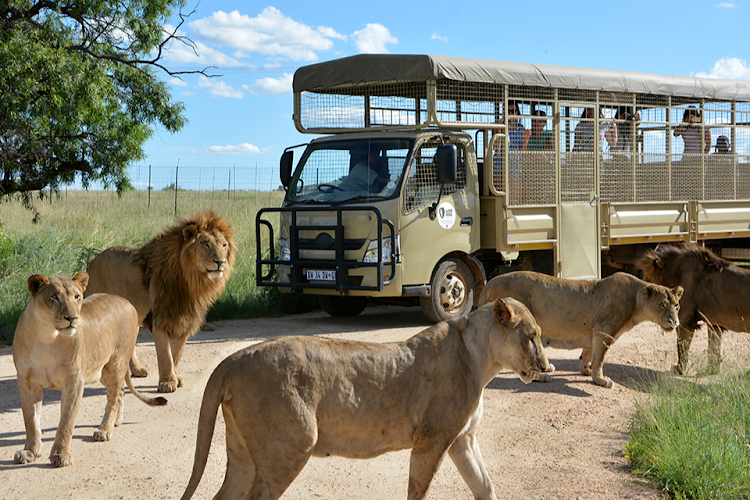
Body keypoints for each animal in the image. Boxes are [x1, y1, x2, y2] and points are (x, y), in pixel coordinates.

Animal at [12, 272, 167, 466]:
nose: (72, 318)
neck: (47, 336)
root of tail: (127, 301)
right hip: (101, 371)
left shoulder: (74, 381)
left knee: (113, 399)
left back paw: (105, 430)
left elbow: (66, 421)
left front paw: (61, 455)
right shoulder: (26, 381)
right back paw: (116, 421)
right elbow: (31, 420)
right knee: (120, 392)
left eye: (77, 297)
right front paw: (29, 452)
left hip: (116, 364)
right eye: (54, 297)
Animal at [84, 209, 235, 392]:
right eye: (205, 244)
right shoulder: (161, 319)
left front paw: (176, 378)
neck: (192, 281)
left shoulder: (184, 320)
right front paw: (167, 383)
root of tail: (91, 263)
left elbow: (176, 355)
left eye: (224, 246)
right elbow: (165, 356)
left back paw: (137, 370)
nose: (221, 262)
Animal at [179, 298, 548, 498]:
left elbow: (485, 487)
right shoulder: (431, 439)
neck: (483, 358)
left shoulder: (462, 440)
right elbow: (418, 490)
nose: (546, 366)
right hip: (289, 448)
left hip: (244, 455)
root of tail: (233, 359)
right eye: (531, 337)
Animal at [478, 272, 684, 388]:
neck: (636, 301)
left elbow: (588, 354)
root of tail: (489, 283)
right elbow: (600, 359)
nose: (674, 322)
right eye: (662, 305)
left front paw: (586, 371)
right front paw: (600, 380)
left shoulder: (593, 332)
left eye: (676, 305)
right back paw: (542, 376)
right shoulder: (604, 330)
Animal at [640, 244, 750, 374]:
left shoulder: (685, 320)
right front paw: (711, 370)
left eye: (646, 279)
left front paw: (680, 369)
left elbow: (682, 348)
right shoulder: (714, 323)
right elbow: (714, 349)